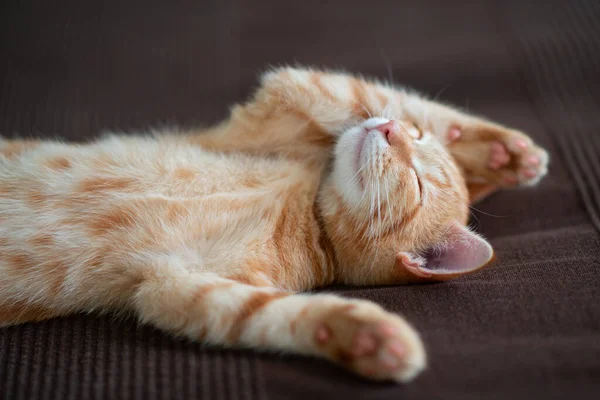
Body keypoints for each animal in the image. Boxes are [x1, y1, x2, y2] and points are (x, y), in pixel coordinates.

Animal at [0, 65, 548, 382]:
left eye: (415, 183)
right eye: (411, 138)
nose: (389, 128)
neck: (306, 212)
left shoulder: (176, 288)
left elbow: (272, 316)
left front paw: (366, 338)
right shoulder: (283, 97)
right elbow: (359, 93)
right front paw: (503, 153)